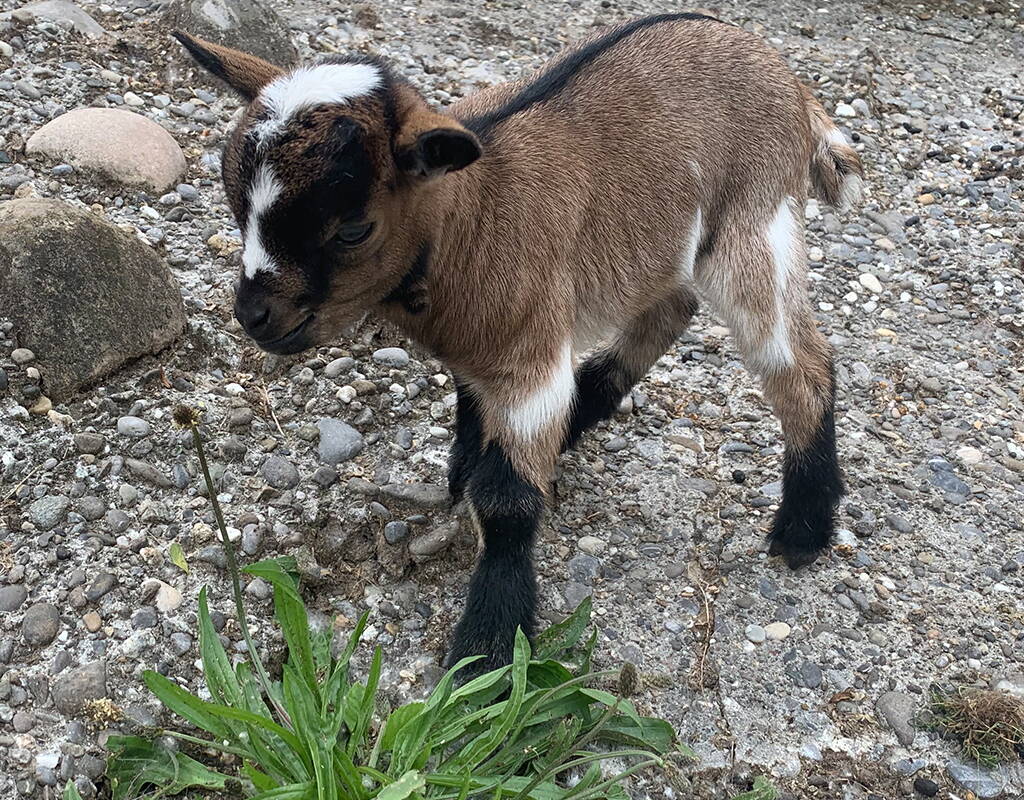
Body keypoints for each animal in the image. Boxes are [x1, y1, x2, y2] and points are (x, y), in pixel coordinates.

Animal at [176, 12, 864, 671]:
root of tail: (789, 80)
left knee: (800, 363)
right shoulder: (482, 348)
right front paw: (464, 470)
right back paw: (583, 413)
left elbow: (506, 501)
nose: (254, 316)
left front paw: (487, 653)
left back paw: (804, 527)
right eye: (237, 208)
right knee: (672, 305)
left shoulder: (528, 353)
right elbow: (469, 405)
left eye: (352, 230)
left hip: (755, 221)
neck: (464, 219)